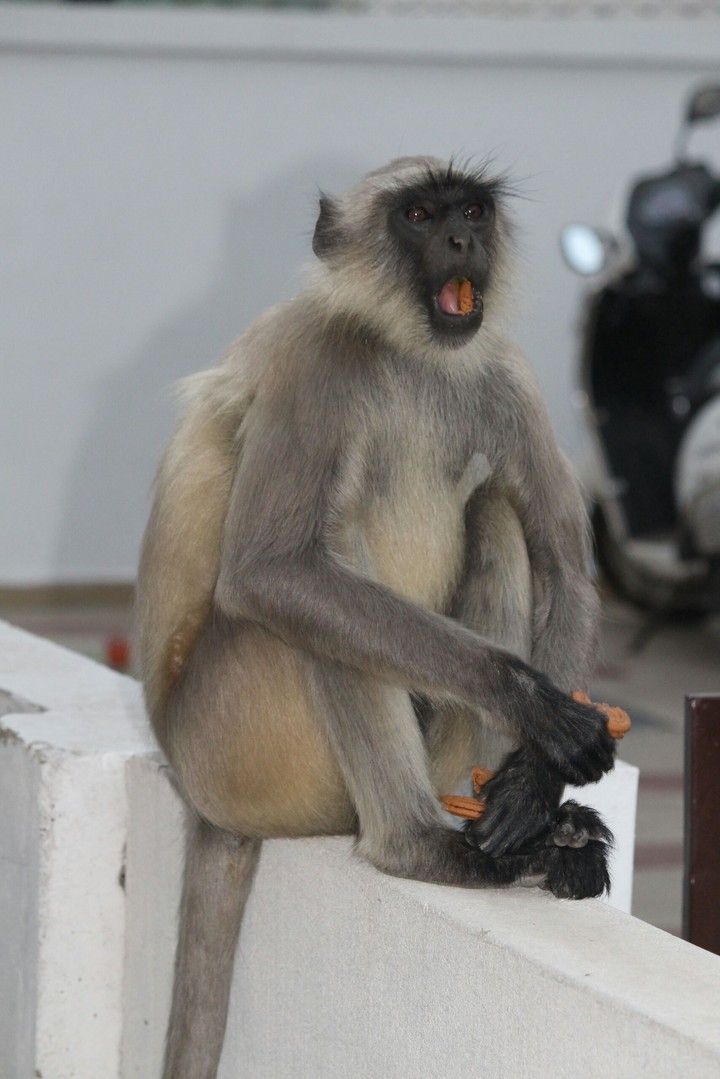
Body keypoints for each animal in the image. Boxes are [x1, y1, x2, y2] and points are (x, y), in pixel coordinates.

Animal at [135, 156, 616, 1079]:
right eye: (420, 216)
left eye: (472, 211)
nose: (461, 240)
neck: (409, 351)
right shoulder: (315, 365)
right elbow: (272, 571)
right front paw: (535, 706)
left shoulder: (507, 372)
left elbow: (568, 571)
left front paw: (537, 778)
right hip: (232, 747)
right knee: (314, 575)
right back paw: (417, 845)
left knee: (494, 510)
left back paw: (528, 825)